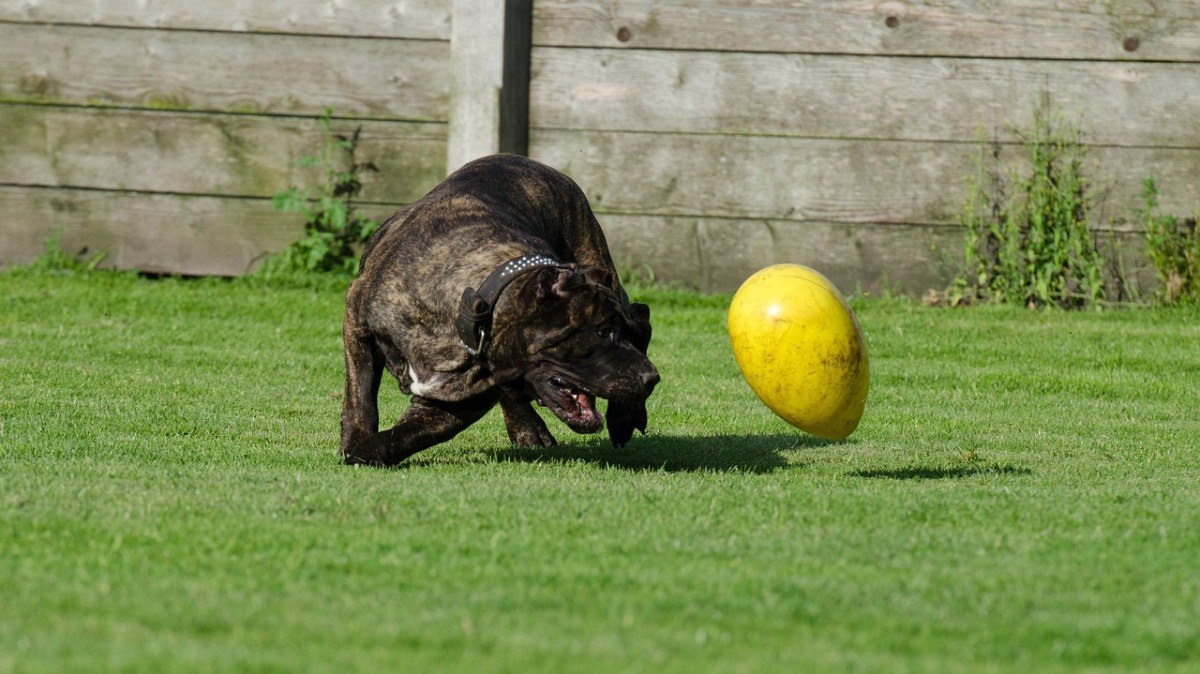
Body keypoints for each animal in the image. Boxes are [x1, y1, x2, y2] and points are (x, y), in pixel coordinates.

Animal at [338, 154, 662, 465]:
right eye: (603, 332)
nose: (651, 378)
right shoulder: (357, 322)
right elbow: (361, 395)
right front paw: (357, 442)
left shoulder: (462, 400)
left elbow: (410, 433)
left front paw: (367, 450)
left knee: (641, 318)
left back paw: (623, 418)